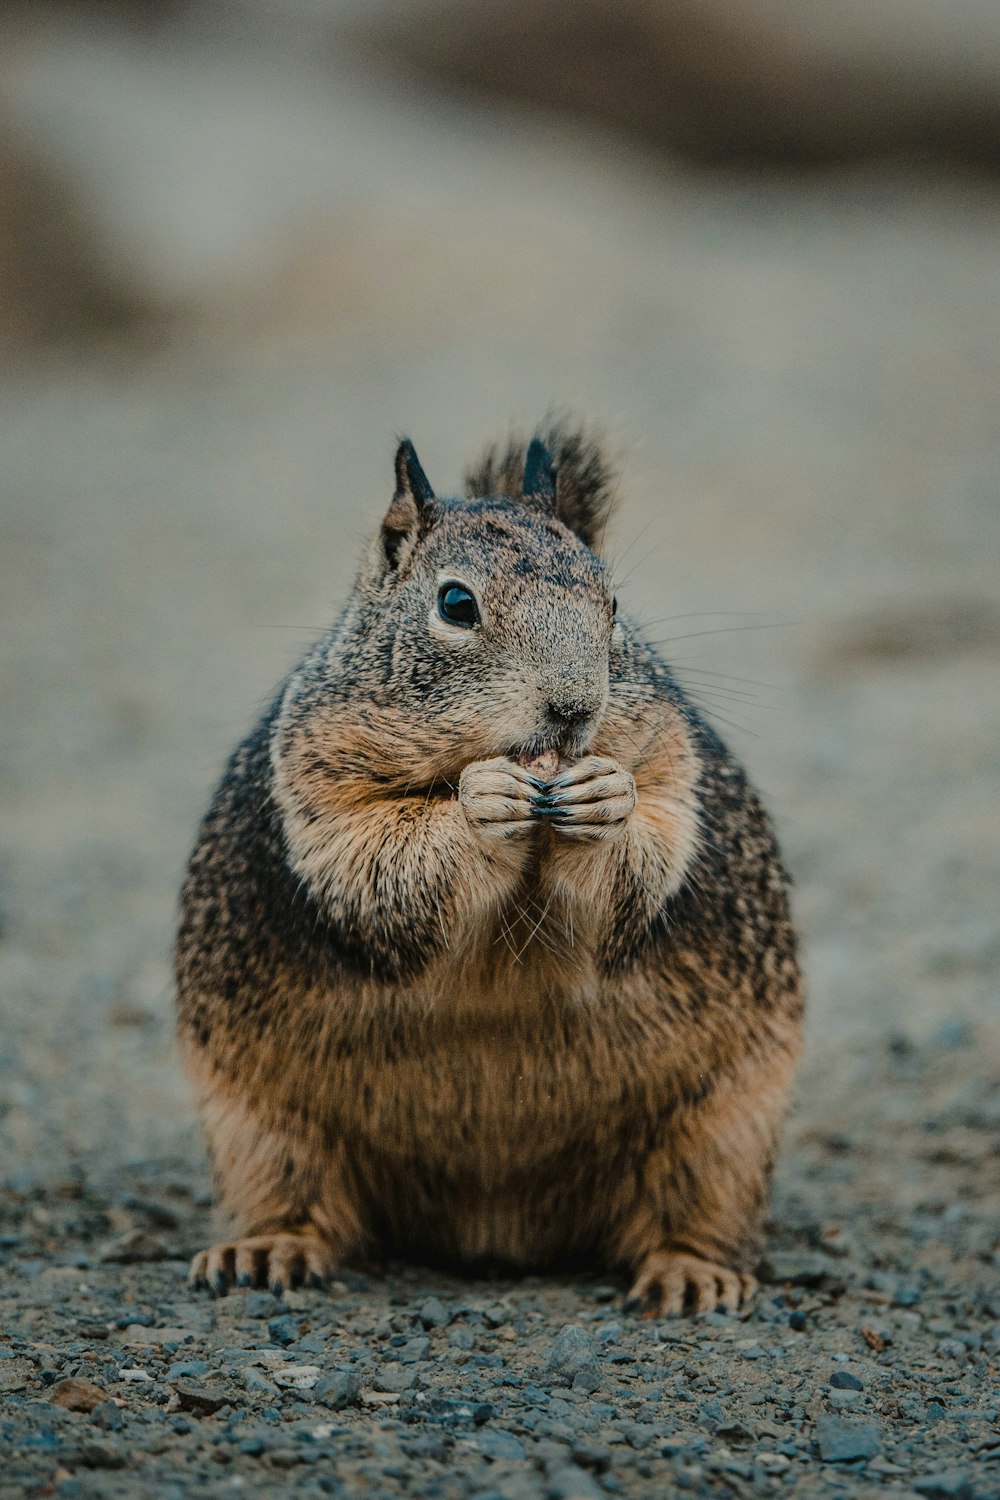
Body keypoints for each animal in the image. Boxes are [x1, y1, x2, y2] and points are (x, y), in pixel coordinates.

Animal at [176, 423, 803, 1314]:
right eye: (455, 605)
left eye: (614, 606)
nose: (575, 709)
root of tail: (496, 1225)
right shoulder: (320, 783)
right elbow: (374, 863)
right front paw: (480, 802)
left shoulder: (671, 763)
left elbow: (651, 849)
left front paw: (605, 799)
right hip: (258, 1130)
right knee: (299, 1200)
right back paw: (265, 1250)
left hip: (723, 1134)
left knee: (687, 1213)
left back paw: (692, 1273)